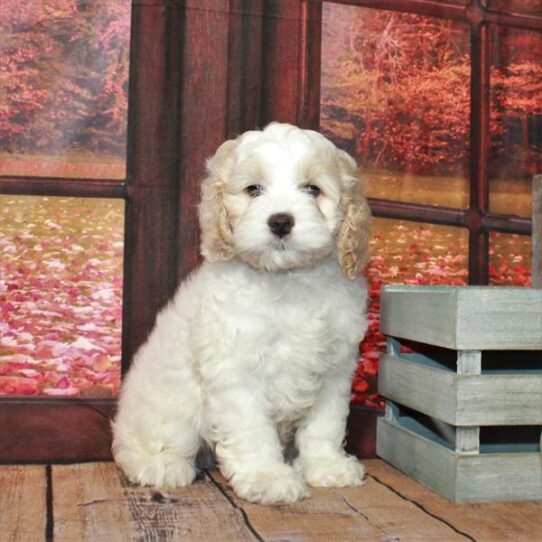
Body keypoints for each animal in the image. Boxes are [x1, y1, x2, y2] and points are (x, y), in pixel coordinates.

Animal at [111, 123, 374, 506]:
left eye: (313, 189)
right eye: (254, 190)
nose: (280, 221)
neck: (287, 279)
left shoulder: (335, 368)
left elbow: (325, 424)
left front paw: (326, 466)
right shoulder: (236, 370)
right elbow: (252, 429)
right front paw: (269, 478)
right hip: (169, 404)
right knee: (144, 441)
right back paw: (161, 465)